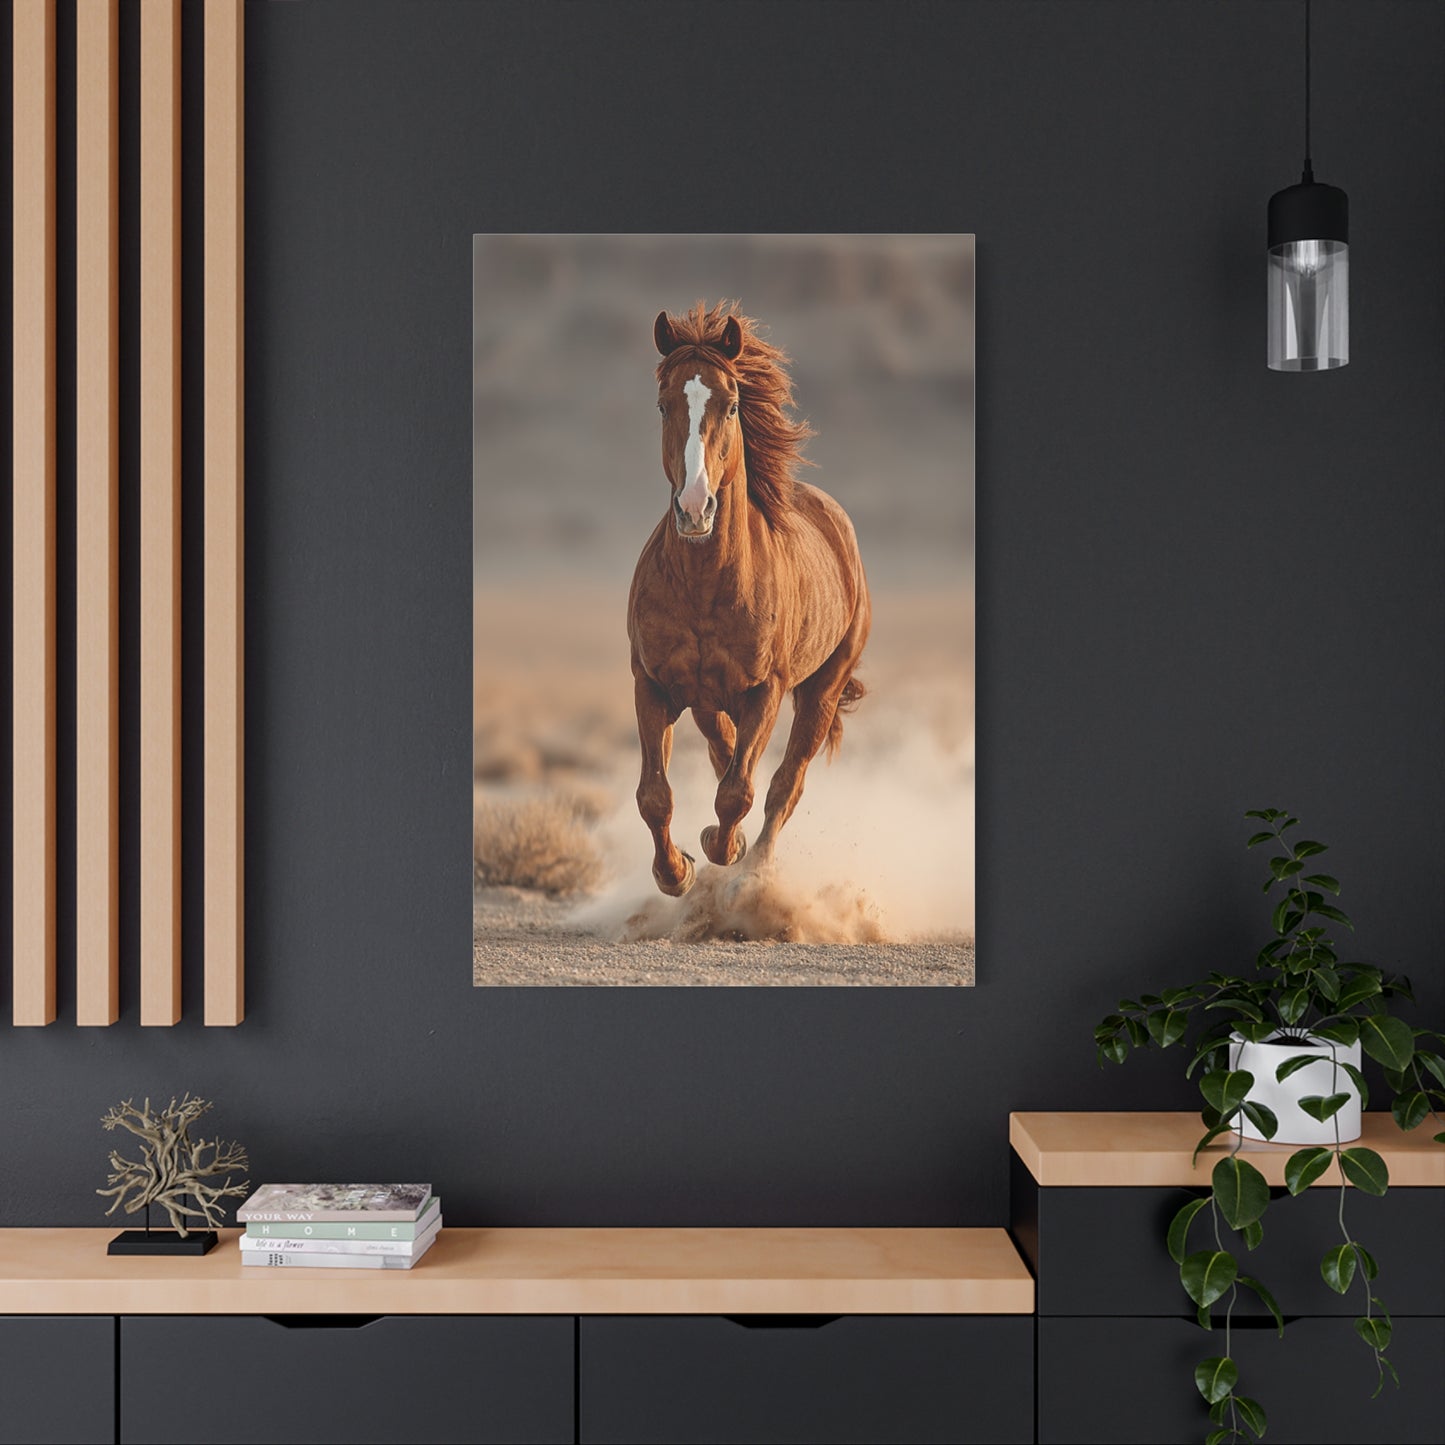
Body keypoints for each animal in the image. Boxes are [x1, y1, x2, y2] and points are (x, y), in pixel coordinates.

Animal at [627, 301, 871, 897]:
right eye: (663, 405)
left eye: (732, 404)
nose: (695, 508)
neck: (704, 586)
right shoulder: (652, 685)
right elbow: (655, 796)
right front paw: (676, 872)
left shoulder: (766, 691)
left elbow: (740, 792)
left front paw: (725, 849)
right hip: (706, 701)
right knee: (725, 753)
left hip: (821, 689)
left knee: (785, 783)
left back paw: (755, 869)